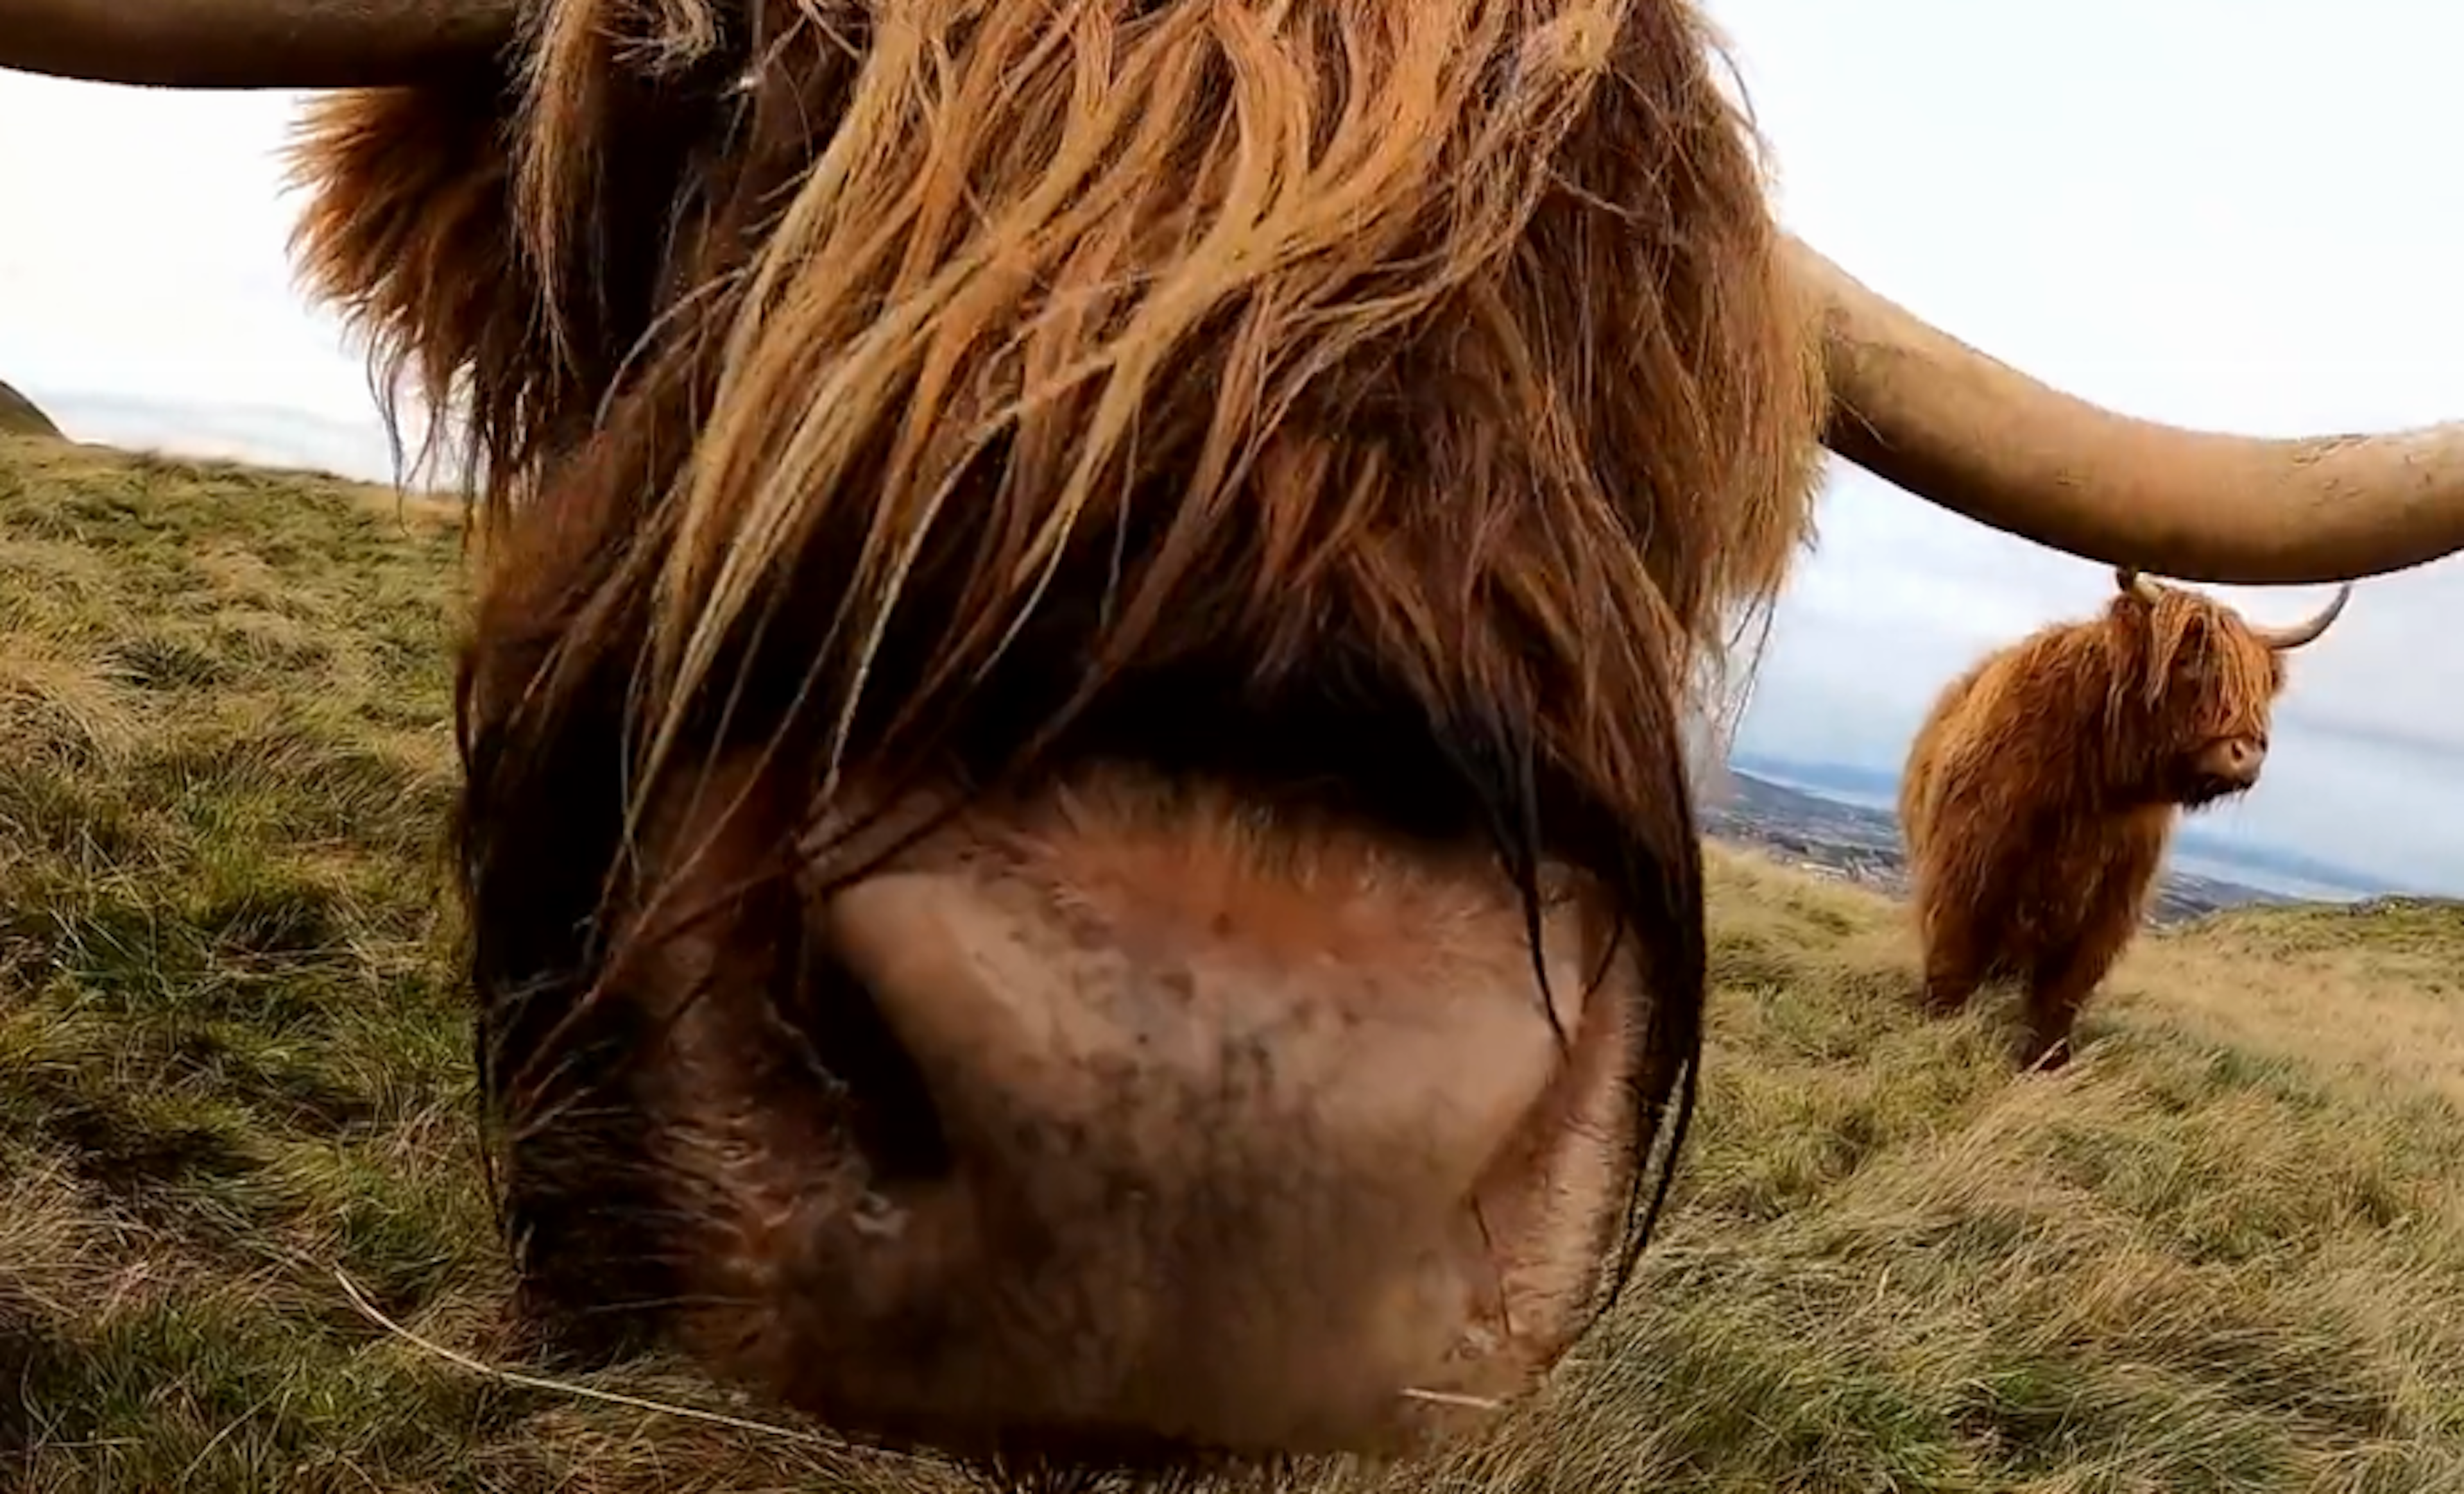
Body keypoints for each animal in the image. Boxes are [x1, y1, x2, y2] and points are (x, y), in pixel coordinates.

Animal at [1902, 573, 2345, 1073]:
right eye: (2188, 662)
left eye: (2261, 685)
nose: (2246, 756)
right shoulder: (1966, 872)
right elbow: (1952, 964)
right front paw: (1937, 1032)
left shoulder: (2109, 906)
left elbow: (2062, 995)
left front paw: (2047, 1063)